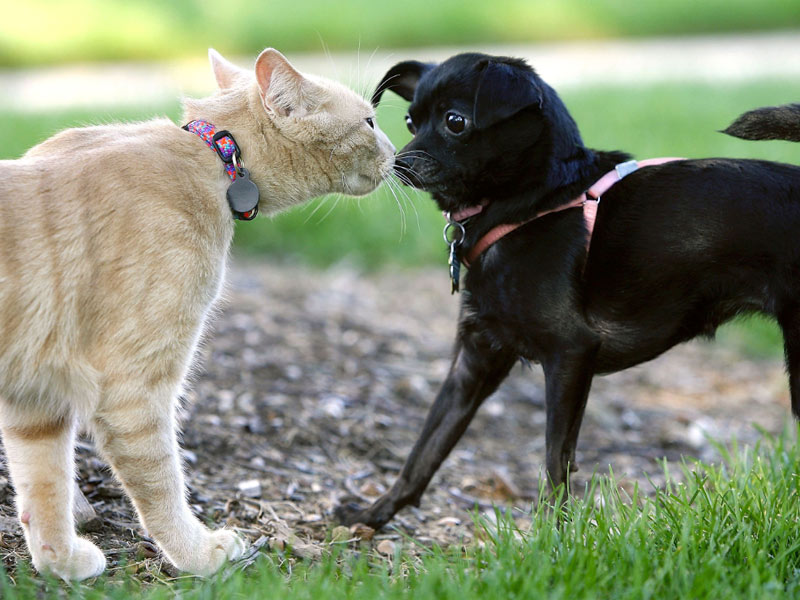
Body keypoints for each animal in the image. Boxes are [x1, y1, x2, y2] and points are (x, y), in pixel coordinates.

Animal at [0, 49, 396, 580]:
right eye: (370, 122)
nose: (396, 150)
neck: (213, 155)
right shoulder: (133, 389)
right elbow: (162, 484)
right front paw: (197, 553)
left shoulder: (36, 394)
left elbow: (44, 485)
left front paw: (58, 561)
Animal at [334, 52, 800, 528]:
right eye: (411, 122)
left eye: (455, 122)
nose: (399, 162)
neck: (531, 205)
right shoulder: (474, 361)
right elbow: (426, 449)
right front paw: (372, 515)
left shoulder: (570, 354)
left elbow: (555, 456)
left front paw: (552, 533)